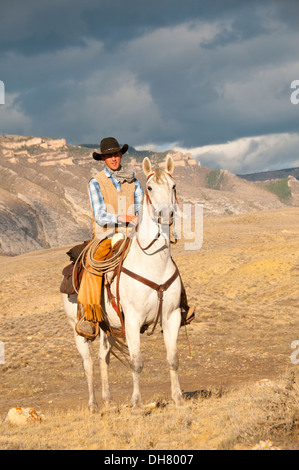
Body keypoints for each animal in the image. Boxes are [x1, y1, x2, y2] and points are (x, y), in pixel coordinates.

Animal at [62, 157, 184, 412]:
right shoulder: (133, 320)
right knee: (88, 363)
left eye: (174, 186)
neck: (154, 264)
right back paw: (94, 405)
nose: (166, 214)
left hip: (107, 326)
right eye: (150, 188)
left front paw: (178, 398)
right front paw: (137, 403)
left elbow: (173, 359)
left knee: (103, 359)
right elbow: (136, 362)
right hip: (77, 328)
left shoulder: (172, 316)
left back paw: (108, 401)